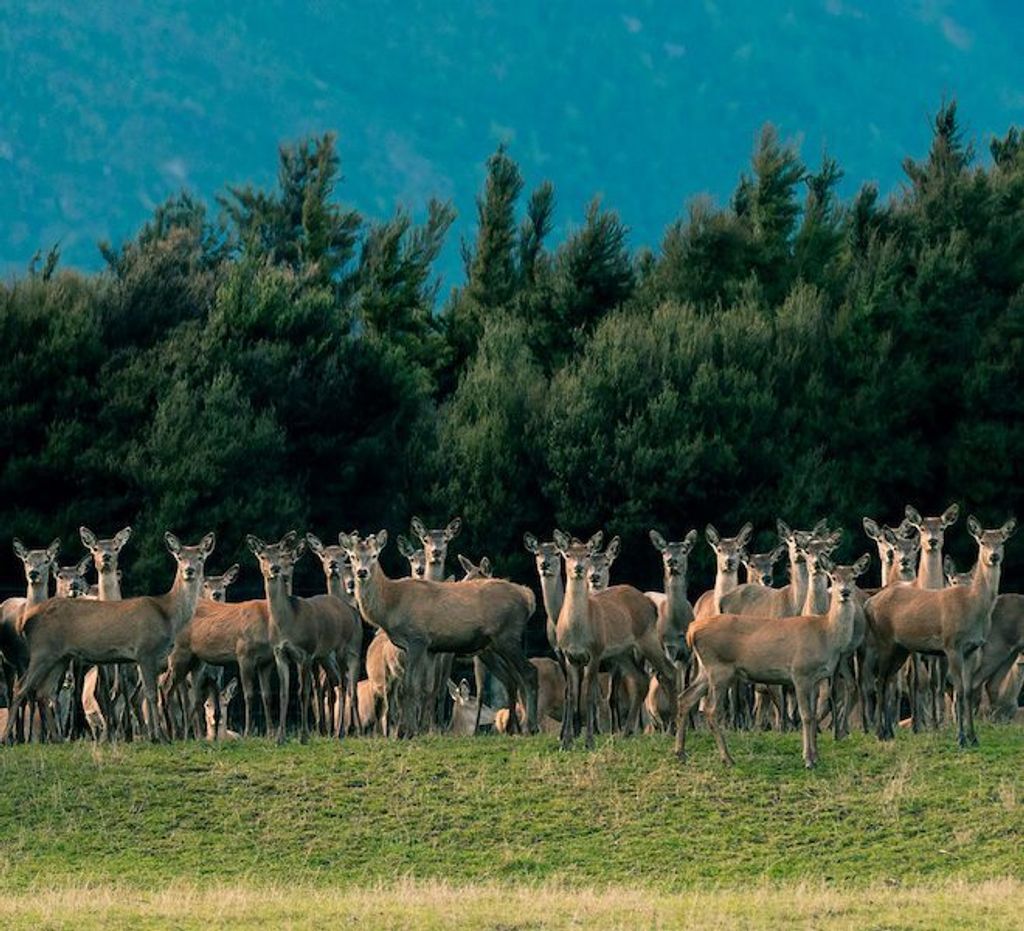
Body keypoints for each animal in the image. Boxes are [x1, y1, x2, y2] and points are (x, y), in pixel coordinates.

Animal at [4, 531, 214, 744]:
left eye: (200, 557)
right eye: (180, 557)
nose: (189, 570)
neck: (167, 613)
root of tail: (27, 620)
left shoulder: (150, 658)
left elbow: (149, 696)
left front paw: (157, 735)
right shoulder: (145, 650)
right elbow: (152, 694)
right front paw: (159, 737)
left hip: (60, 657)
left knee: (43, 692)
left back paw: (57, 738)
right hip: (42, 650)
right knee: (21, 688)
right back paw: (8, 738)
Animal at [339, 530, 538, 738]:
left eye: (375, 555)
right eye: (353, 556)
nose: (362, 572)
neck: (391, 606)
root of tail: (528, 597)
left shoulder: (417, 639)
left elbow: (410, 686)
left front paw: (407, 732)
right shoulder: (428, 648)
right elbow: (421, 687)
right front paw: (412, 730)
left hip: (507, 635)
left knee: (528, 672)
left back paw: (529, 726)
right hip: (493, 645)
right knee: (512, 678)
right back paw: (513, 728)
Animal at [553, 531, 678, 749]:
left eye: (587, 554)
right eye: (567, 554)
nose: (579, 568)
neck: (577, 631)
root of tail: (649, 602)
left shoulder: (595, 651)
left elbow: (589, 695)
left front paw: (589, 742)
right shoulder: (569, 656)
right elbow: (571, 696)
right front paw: (566, 742)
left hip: (648, 638)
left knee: (669, 671)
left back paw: (671, 729)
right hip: (622, 653)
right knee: (641, 679)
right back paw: (626, 732)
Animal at [676, 554, 871, 768]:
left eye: (854, 577)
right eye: (834, 577)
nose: (845, 592)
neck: (826, 634)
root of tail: (692, 630)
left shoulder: (816, 678)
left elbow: (812, 715)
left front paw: (816, 756)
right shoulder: (800, 672)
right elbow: (806, 716)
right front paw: (808, 759)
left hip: (706, 669)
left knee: (685, 698)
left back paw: (681, 753)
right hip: (719, 668)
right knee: (711, 710)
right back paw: (727, 758)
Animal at [866, 516, 1016, 747]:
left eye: (1002, 541)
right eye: (982, 541)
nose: (994, 556)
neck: (973, 605)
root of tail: (868, 604)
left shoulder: (971, 649)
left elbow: (969, 691)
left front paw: (973, 738)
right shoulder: (951, 645)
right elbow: (960, 691)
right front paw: (961, 738)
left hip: (900, 648)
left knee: (887, 679)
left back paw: (888, 732)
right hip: (884, 640)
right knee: (879, 680)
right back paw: (881, 733)